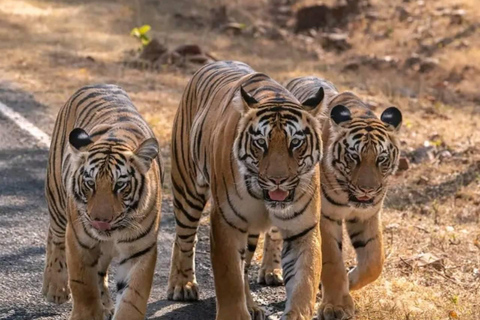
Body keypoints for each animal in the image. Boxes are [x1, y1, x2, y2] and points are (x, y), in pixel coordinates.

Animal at [41, 84, 161, 320]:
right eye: (90, 183)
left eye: (120, 185)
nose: (100, 220)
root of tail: (99, 84)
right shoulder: (79, 242)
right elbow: (84, 286)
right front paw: (87, 314)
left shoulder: (140, 251)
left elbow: (133, 297)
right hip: (57, 200)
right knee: (55, 238)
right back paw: (55, 288)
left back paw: (105, 305)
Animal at [168, 60, 326, 320]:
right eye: (261, 143)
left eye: (295, 143)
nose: (278, 180)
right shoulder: (226, 223)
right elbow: (229, 277)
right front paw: (234, 313)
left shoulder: (302, 229)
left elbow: (305, 281)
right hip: (187, 190)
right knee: (184, 238)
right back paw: (182, 285)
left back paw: (251, 306)